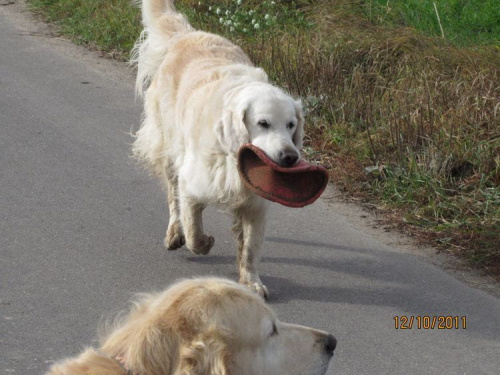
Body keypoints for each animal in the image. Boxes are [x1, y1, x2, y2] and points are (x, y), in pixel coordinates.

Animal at [132, 0, 304, 300]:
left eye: (291, 125)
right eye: (263, 123)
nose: (290, 157)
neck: (232, 158)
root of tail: (188, 34)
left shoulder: (256, 204)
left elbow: (250, 248)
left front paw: (252, 282)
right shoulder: (192, 183)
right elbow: (193, 231)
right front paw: (203, 242)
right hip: (170, 150)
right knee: (173, 198)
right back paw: (174, 232)